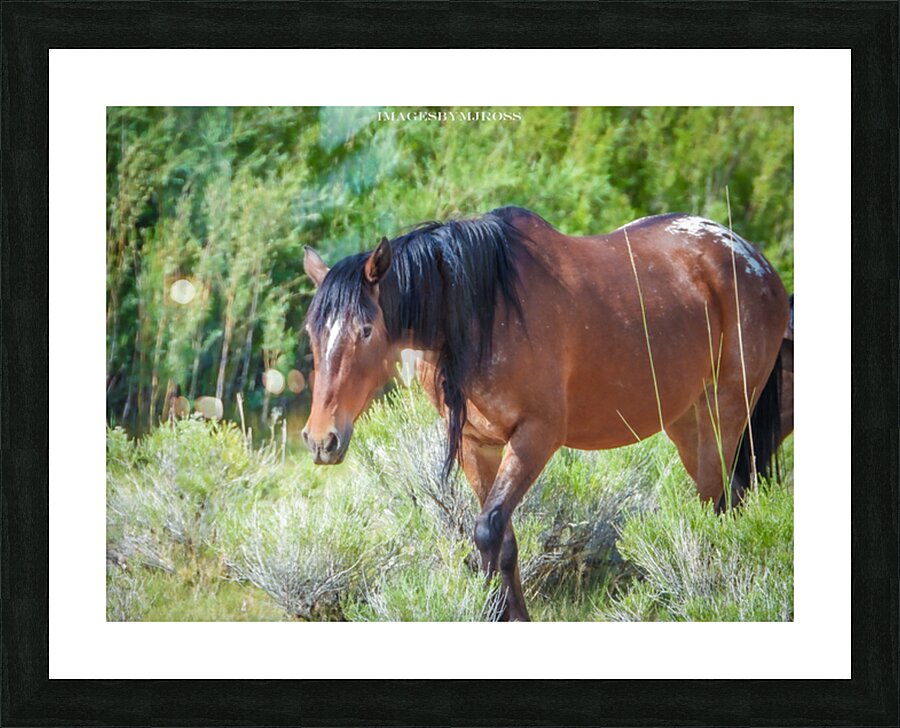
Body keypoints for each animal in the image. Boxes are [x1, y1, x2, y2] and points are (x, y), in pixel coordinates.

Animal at [301, 206, 790, 621]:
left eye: (366, 330)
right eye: (311, 331)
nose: (322, 439)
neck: (481, 312)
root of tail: (754, 260)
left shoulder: (535, 436)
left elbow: (487, 530)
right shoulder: (477, 445)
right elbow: (503, 539)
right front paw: (513, 614)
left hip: (727, 409)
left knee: (724, 499)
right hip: (688, 421)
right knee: (719, 497)